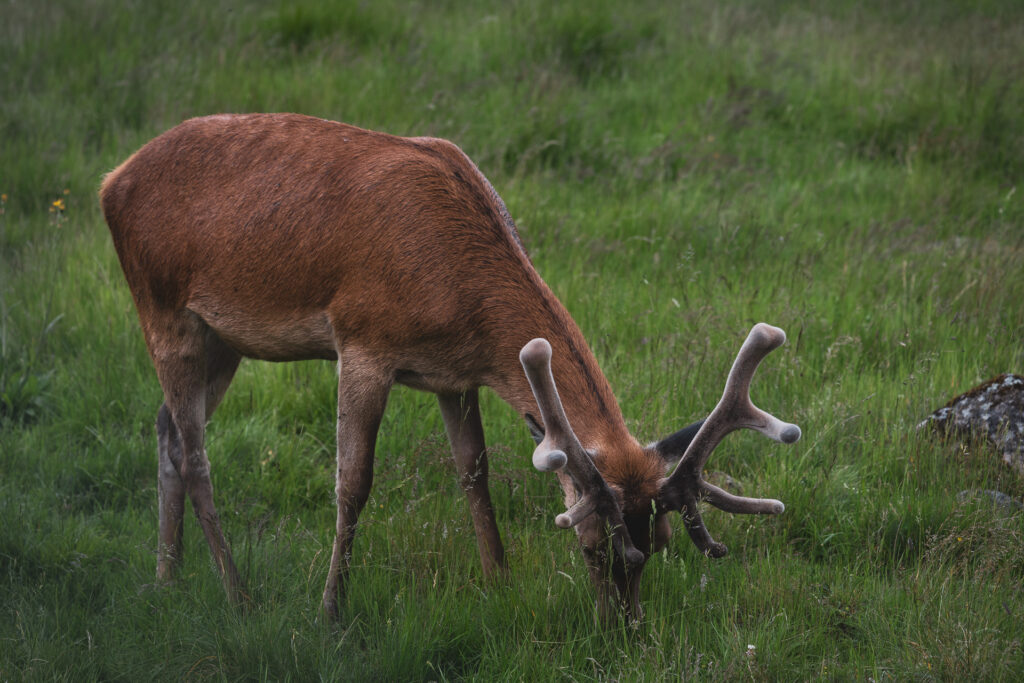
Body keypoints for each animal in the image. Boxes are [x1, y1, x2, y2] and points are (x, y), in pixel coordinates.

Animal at [99, 113, 798, 626]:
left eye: (659, 543)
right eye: (593, 544)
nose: (624, 628)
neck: (460, 297)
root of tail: (111, 181)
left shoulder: (454, 376)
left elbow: (474, 472)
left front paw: (499, 581)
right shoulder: (363, 340)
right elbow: (353, 483)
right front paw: (330, 610)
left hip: (223, 339)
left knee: (165, 429)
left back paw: (167, 576)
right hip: (163, 311)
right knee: (195, 455)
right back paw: (237, 595)